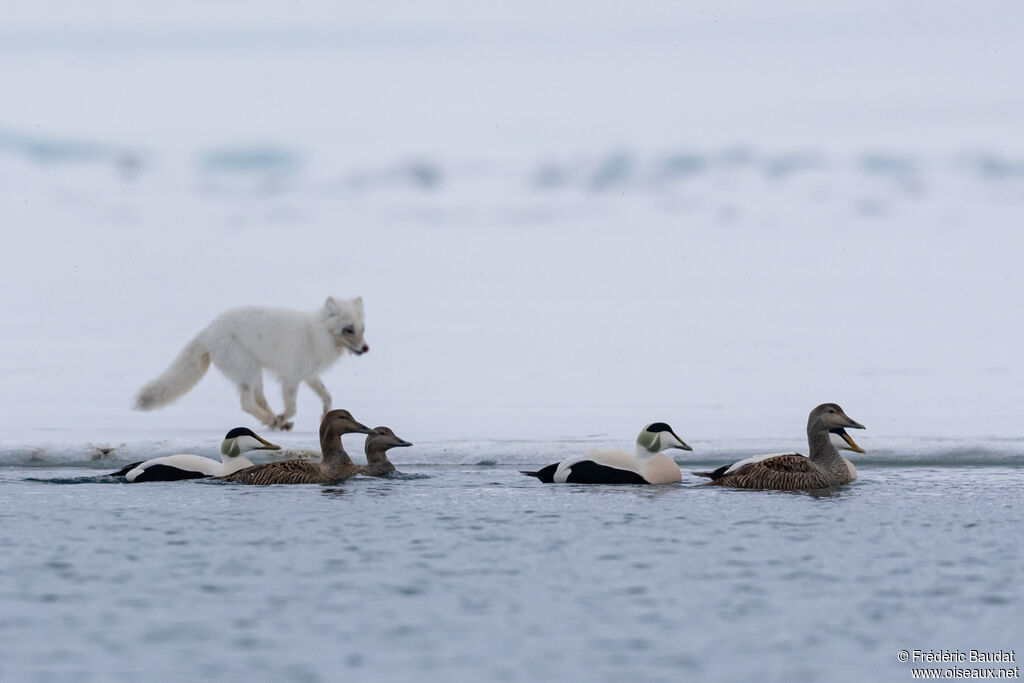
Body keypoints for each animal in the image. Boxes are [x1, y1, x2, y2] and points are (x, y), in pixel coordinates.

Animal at [134, 296, 368, 430]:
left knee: (259, 400)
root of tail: (209, 331)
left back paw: (273, 421)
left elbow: (327, 395)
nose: (366, 349)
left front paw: (323, 416)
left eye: (362, 328)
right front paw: (283, 417)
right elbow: (292, 408)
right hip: (246, 370)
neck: (316, 333)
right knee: (246, 403)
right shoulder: (291, 379)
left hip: (256, 372)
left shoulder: (309, 375)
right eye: (348, 329)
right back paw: (274, 421)